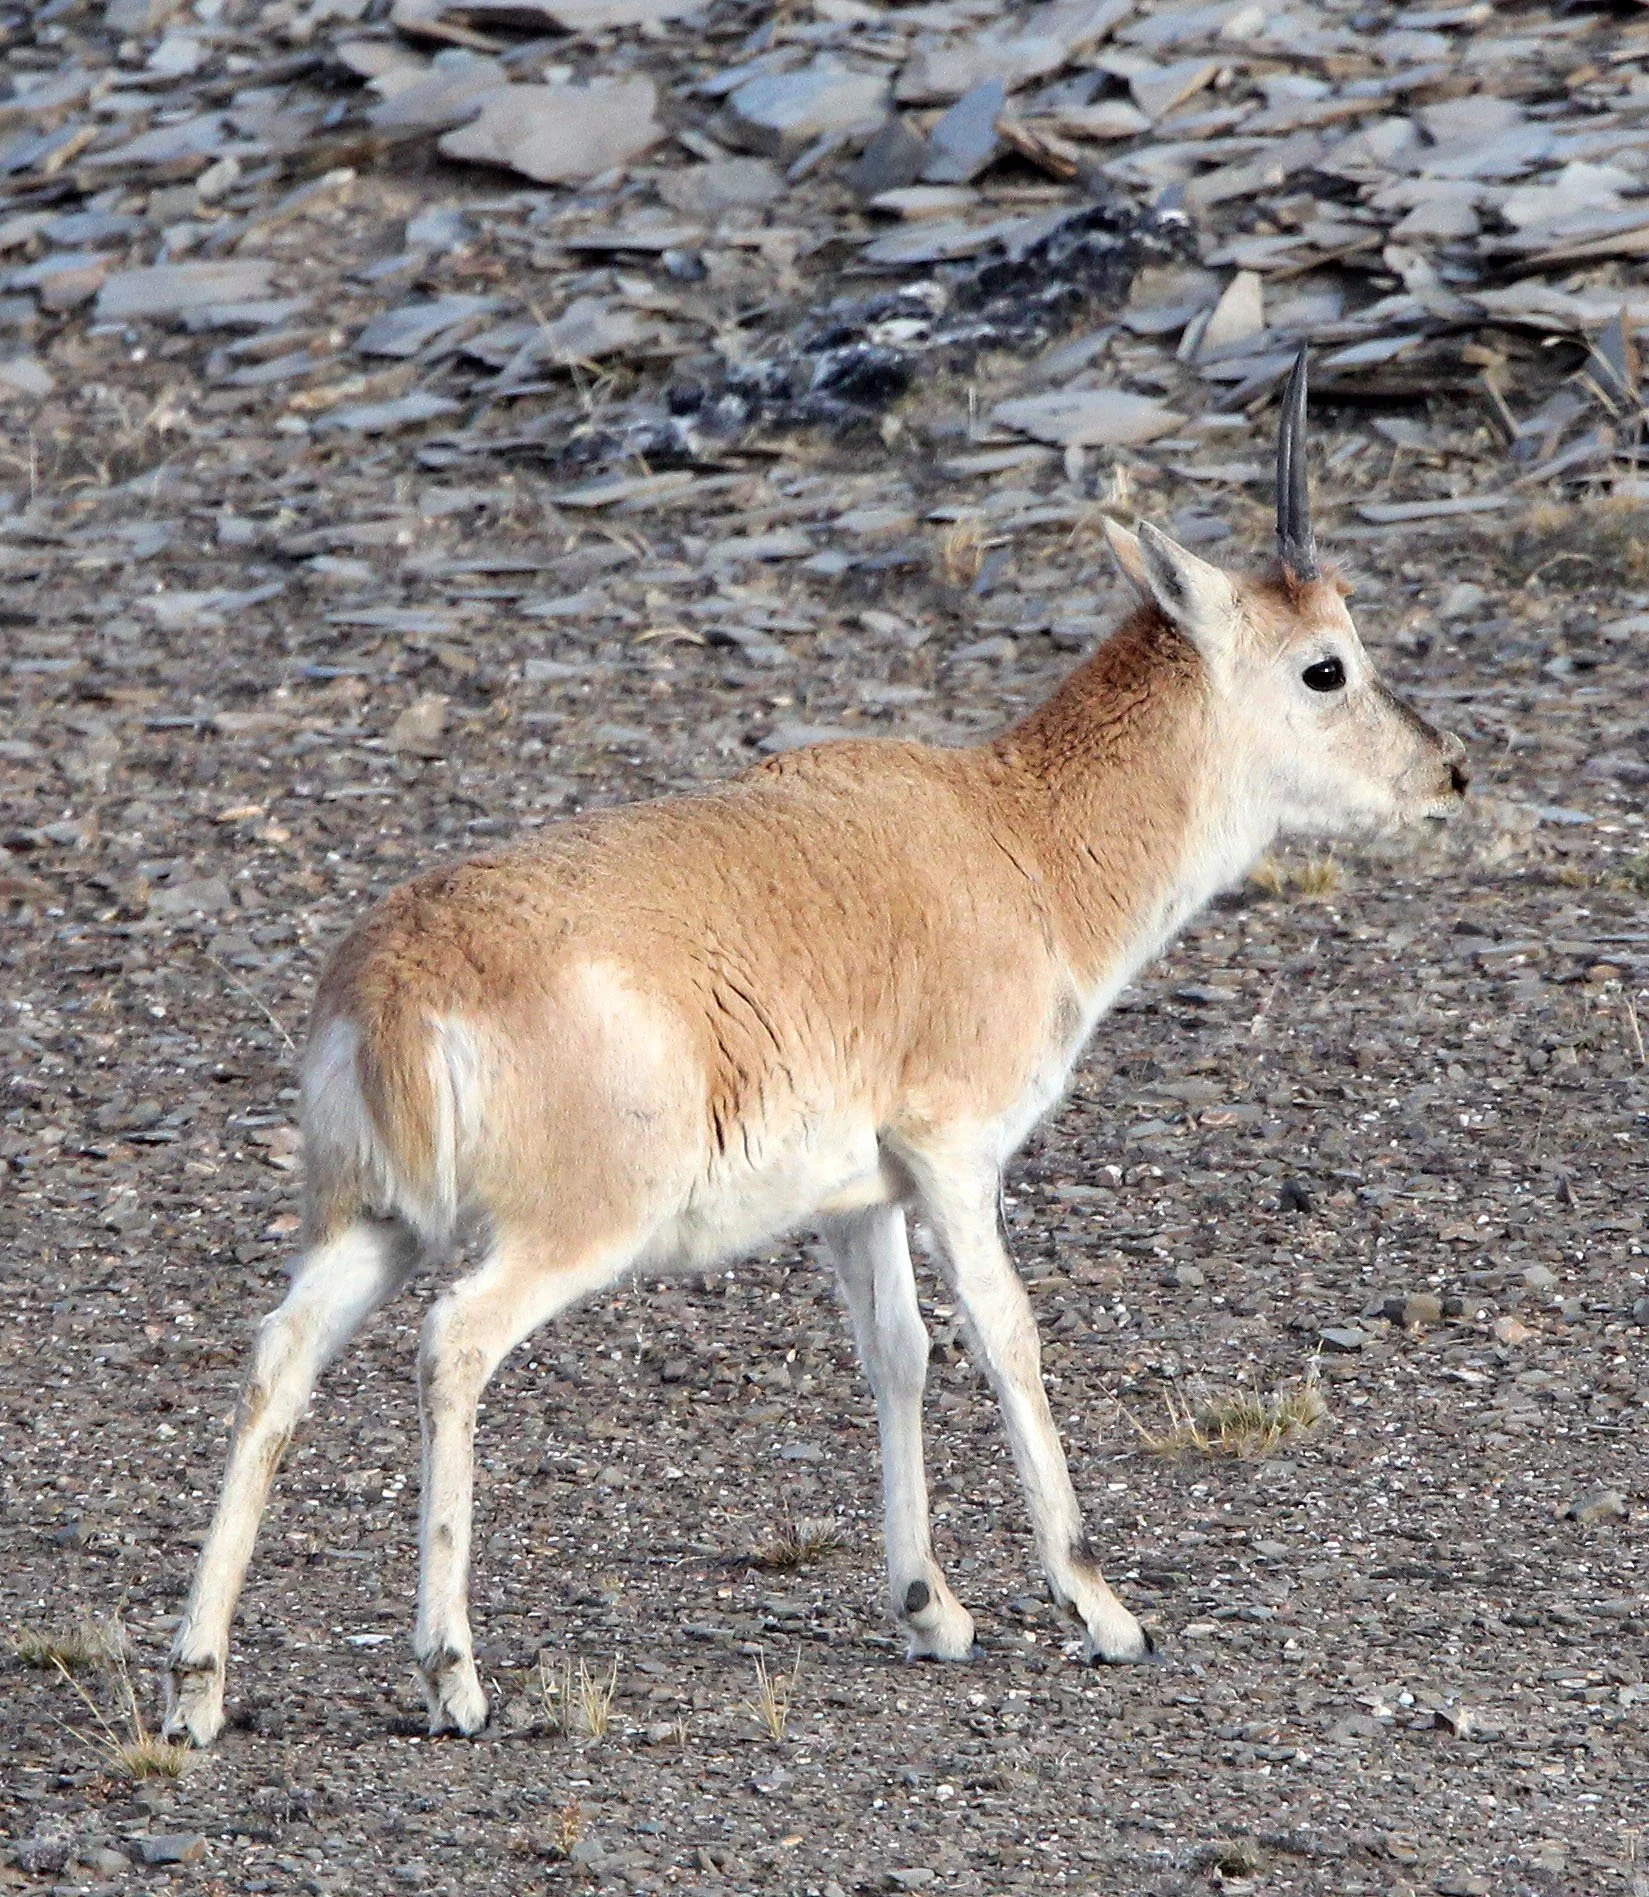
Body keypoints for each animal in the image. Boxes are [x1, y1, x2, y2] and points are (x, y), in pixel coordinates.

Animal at [164, 351, 1467, 1745]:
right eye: (1325, 666)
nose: (1447, 772)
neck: (1012, 838)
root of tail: (400, 978)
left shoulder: (859, 1195)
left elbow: (896, 1354)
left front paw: (929, 1609)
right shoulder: (955, 1155)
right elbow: (1005, 1336)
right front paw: (1102, 1609)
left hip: (373, 1221)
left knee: (277, 1355)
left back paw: (197, 1687)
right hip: (567, 1231)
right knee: (452, 1343)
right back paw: (450, 1674)